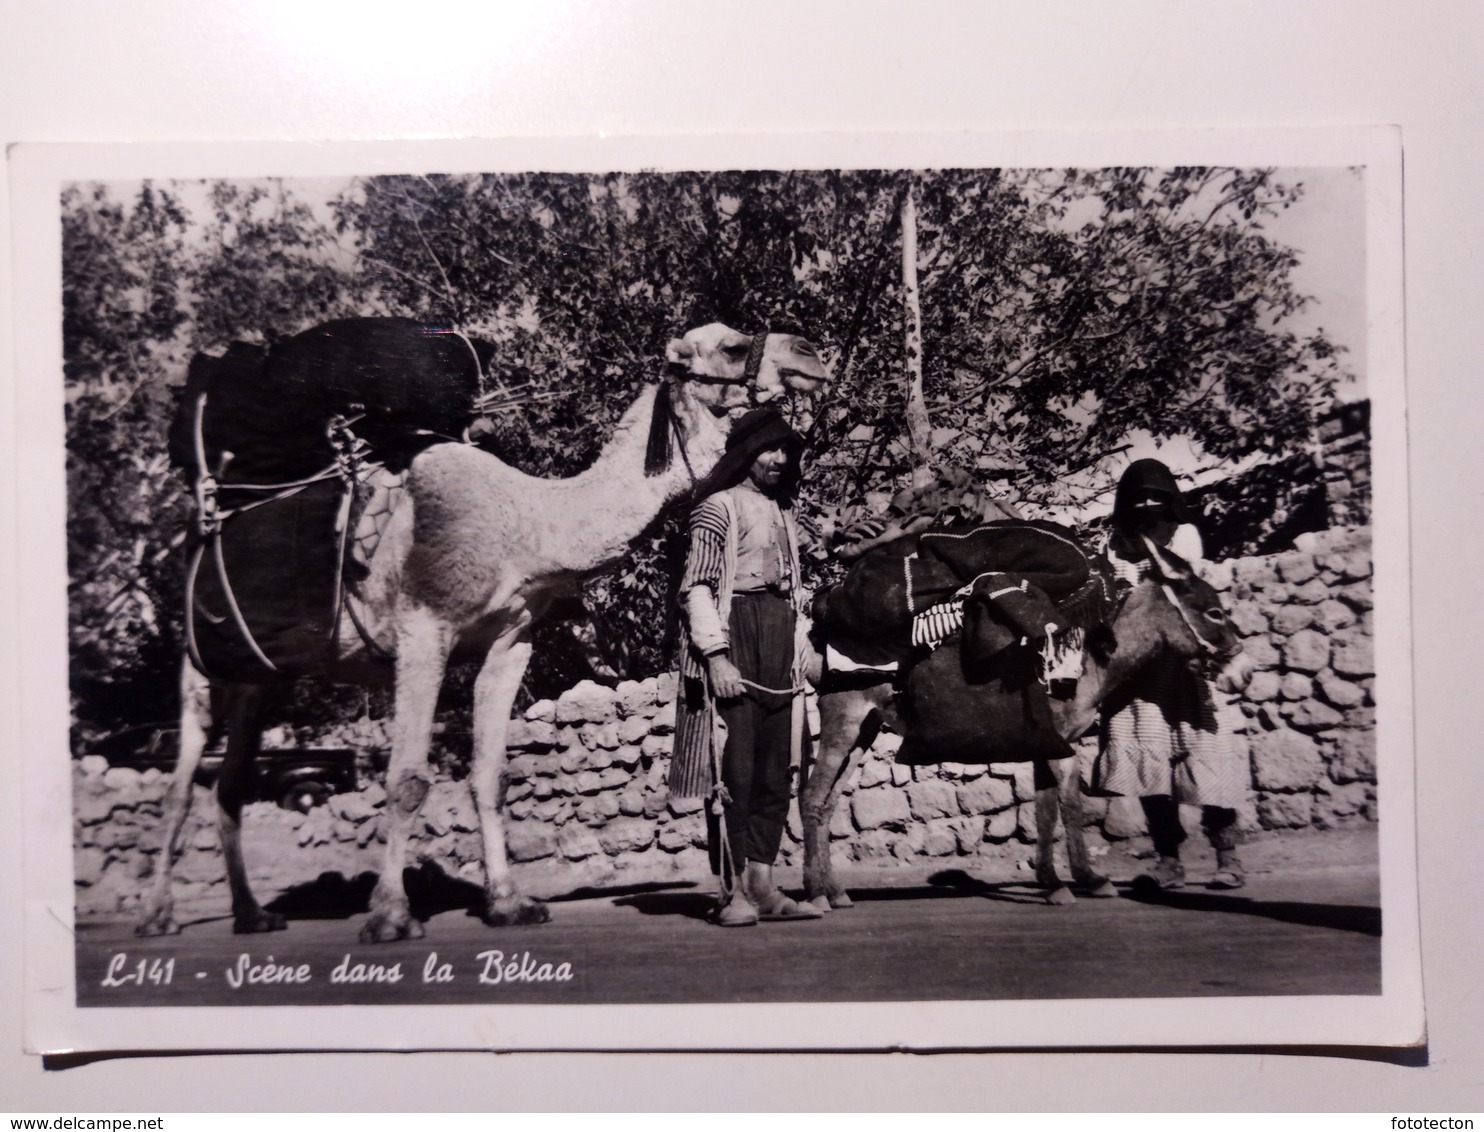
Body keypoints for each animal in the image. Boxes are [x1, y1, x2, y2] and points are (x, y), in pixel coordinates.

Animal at [136, 324, 836, 937]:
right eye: (731, 345)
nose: (809, 353)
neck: (526, 525)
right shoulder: (424, 630)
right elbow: (408, 779)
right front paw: (391, 917)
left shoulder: (511, 638)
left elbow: (491, 776)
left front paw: (509, 903)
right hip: (201, 662)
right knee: (180, 784)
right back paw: (159, 915)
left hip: (263, 677)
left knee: (229, 785)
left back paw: (253, 915)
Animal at [801, 537, 1240, 913]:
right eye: (1214, 612)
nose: (1241, 670)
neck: (1085, 662)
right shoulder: (1059, 745)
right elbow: (1070, 807)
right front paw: (1081, 880)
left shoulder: (1053, 745)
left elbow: (1048, 812)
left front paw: (1060, 882)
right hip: (843, 719)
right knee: (812, 799)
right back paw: (816, 895)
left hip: (865, 729)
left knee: (828, 803)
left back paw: (835, 892)